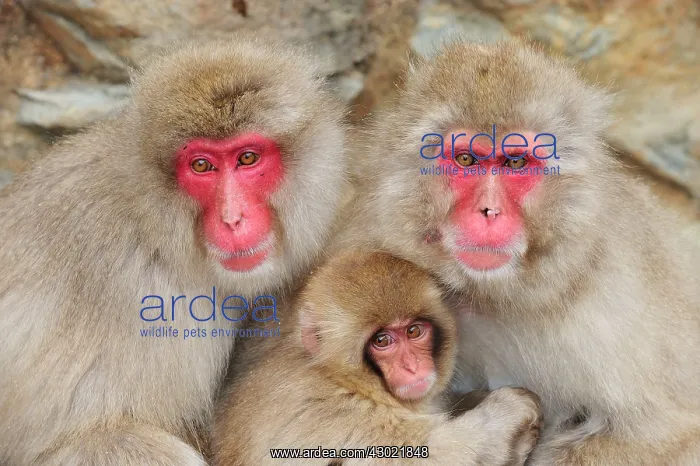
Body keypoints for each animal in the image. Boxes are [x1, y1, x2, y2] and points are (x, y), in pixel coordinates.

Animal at [213, 250, 542, 466]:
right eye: (382, 341)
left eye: (413, 331)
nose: (412, 366)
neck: (342, 378)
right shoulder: (342, 416)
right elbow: (427, 454)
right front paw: (511, 408)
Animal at [337, 39, 700, 464]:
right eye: (466, 159)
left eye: (515, 161)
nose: (489, 211)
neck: (492, 296)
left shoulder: (613, 307)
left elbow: (662, 434)